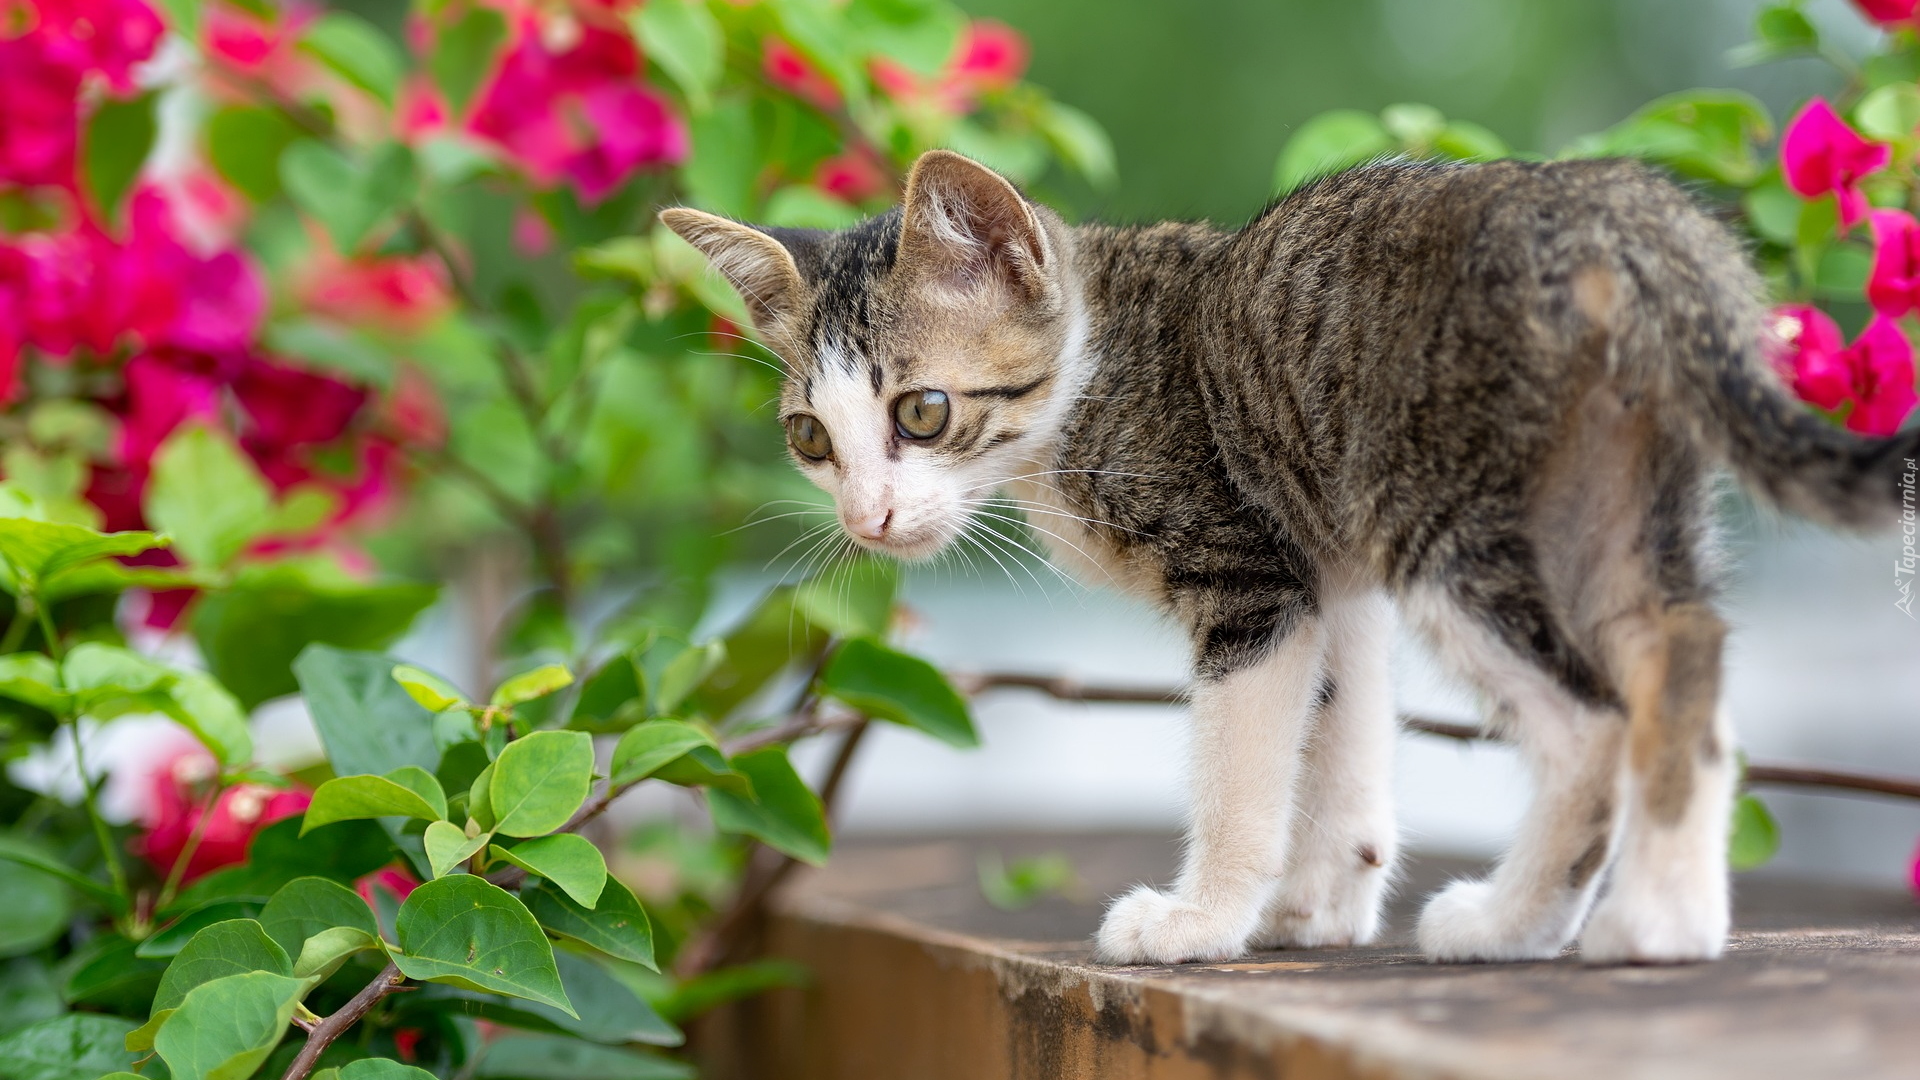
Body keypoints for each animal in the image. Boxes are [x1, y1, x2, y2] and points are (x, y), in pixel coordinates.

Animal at [664, 148, 1920, 957]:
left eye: (922, 413)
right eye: (811, 439)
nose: (867, 517)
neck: (1095, 370)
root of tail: (1606, 201)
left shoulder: (1249, 578)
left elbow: (1243, 766)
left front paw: (1203, 920)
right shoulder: (1326, 562)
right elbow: (1343, 728)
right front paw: (1317, 903)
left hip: (1443, 515)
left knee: (1595, 723)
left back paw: (1516, 922)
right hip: (1611, 499)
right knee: (1680, 653)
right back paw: (1662, 923)